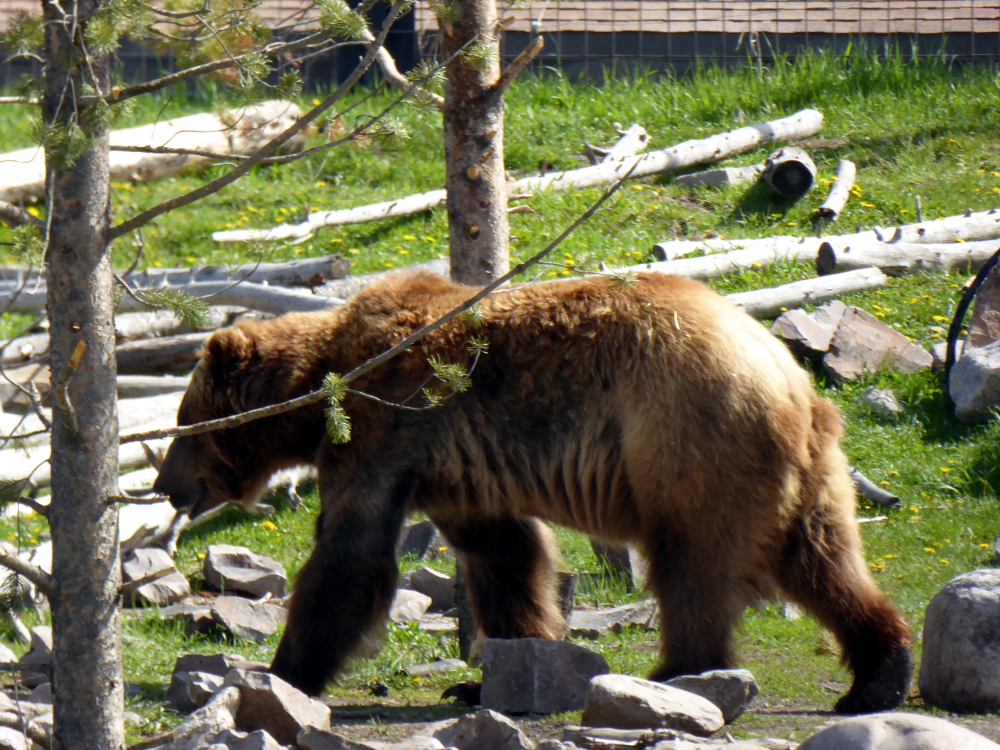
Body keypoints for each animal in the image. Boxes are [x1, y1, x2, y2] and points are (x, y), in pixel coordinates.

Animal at [153, 269, 912, 713]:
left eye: (184, 423)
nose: (163, 484)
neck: (323, 386)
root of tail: (790, 379)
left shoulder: (388, 424)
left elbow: (350, 555)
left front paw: (280, 672)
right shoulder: (455, 472)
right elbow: (505, 556)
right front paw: (500, 671)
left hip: (690, 438)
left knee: (692, 566)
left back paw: (676, 673)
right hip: (803, 472)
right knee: (825, 563)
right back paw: (879, 674)